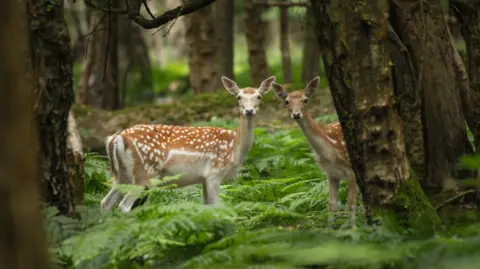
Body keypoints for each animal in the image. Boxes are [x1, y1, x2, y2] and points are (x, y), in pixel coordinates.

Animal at [99, 75, 276, 211]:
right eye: (238, 97)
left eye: (259, 96)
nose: (249, 111)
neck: (234, 147)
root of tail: (116, 138)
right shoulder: (214, 173)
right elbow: (216, 207)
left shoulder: (204, 179)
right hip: (144, 173)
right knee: (123, 206)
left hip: (121, 175)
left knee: (105, 202)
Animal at [272, 77, 358, 224]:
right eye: (286, 101)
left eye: (305, 100)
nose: (296, 114)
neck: (330, 153)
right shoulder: (331, 173)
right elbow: (331, 204)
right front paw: (330, 226)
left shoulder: (351, 169)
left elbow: (351, 204)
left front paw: (354, 228)